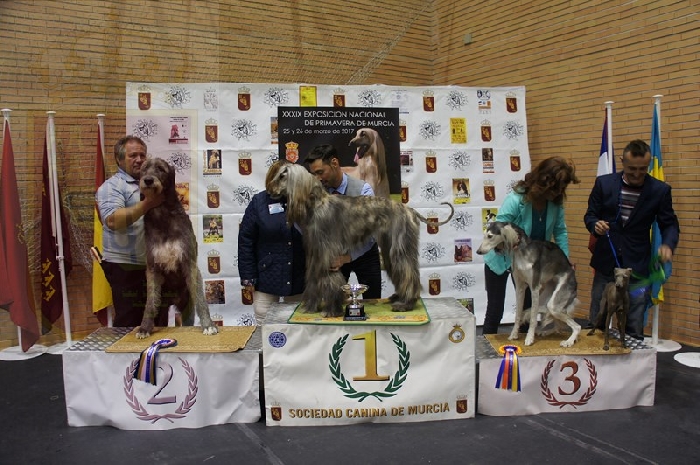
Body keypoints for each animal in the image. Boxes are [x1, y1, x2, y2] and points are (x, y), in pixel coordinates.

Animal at [137, 158, 218, 338]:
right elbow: (150, 302)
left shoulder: (189, 261)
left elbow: (201, 299)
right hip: (163, 307)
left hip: (186, 306)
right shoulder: (152, 267)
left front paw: (208, 325)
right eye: (144, 168)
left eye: (161, 169)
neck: (162, 215)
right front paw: (144, 328)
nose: (148, 180)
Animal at [267, 163, 454, 316]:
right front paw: (311, 307)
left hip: (399, 245)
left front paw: (331, 309)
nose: (269, 190)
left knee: (408, 272)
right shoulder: (315, 252)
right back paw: (397, 297)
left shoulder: (327, 252)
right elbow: (313, 279)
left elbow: (329, 280)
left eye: (282, 176)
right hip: (389, 246)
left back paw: (405, 304)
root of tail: (409, 210)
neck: (316, 204)